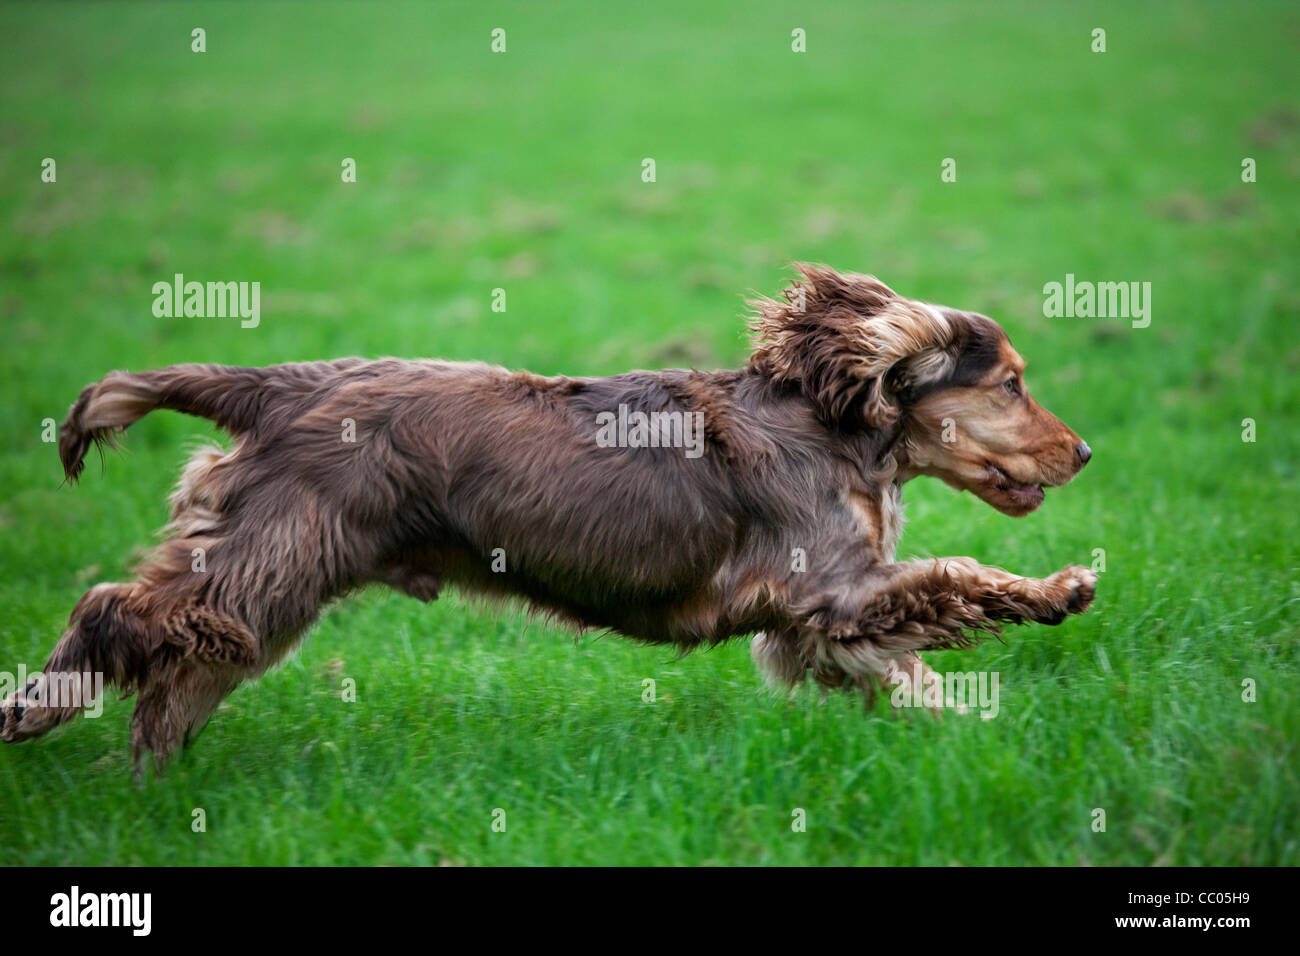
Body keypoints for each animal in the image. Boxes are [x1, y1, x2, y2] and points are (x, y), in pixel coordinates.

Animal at [0, 267, 1097, 770]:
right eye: (1010, 382)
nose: (1084, 453)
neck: (830, 421)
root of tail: (275, 386)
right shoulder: (826, 589)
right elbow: (959, 580)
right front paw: (1059, 588)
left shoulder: (813, 627)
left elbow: (914, 670)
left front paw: (971, 736)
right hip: (270, 559)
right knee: (114, 611)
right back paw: (37, 709)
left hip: (262, 591)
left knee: (175, 676)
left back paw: (152, 773)